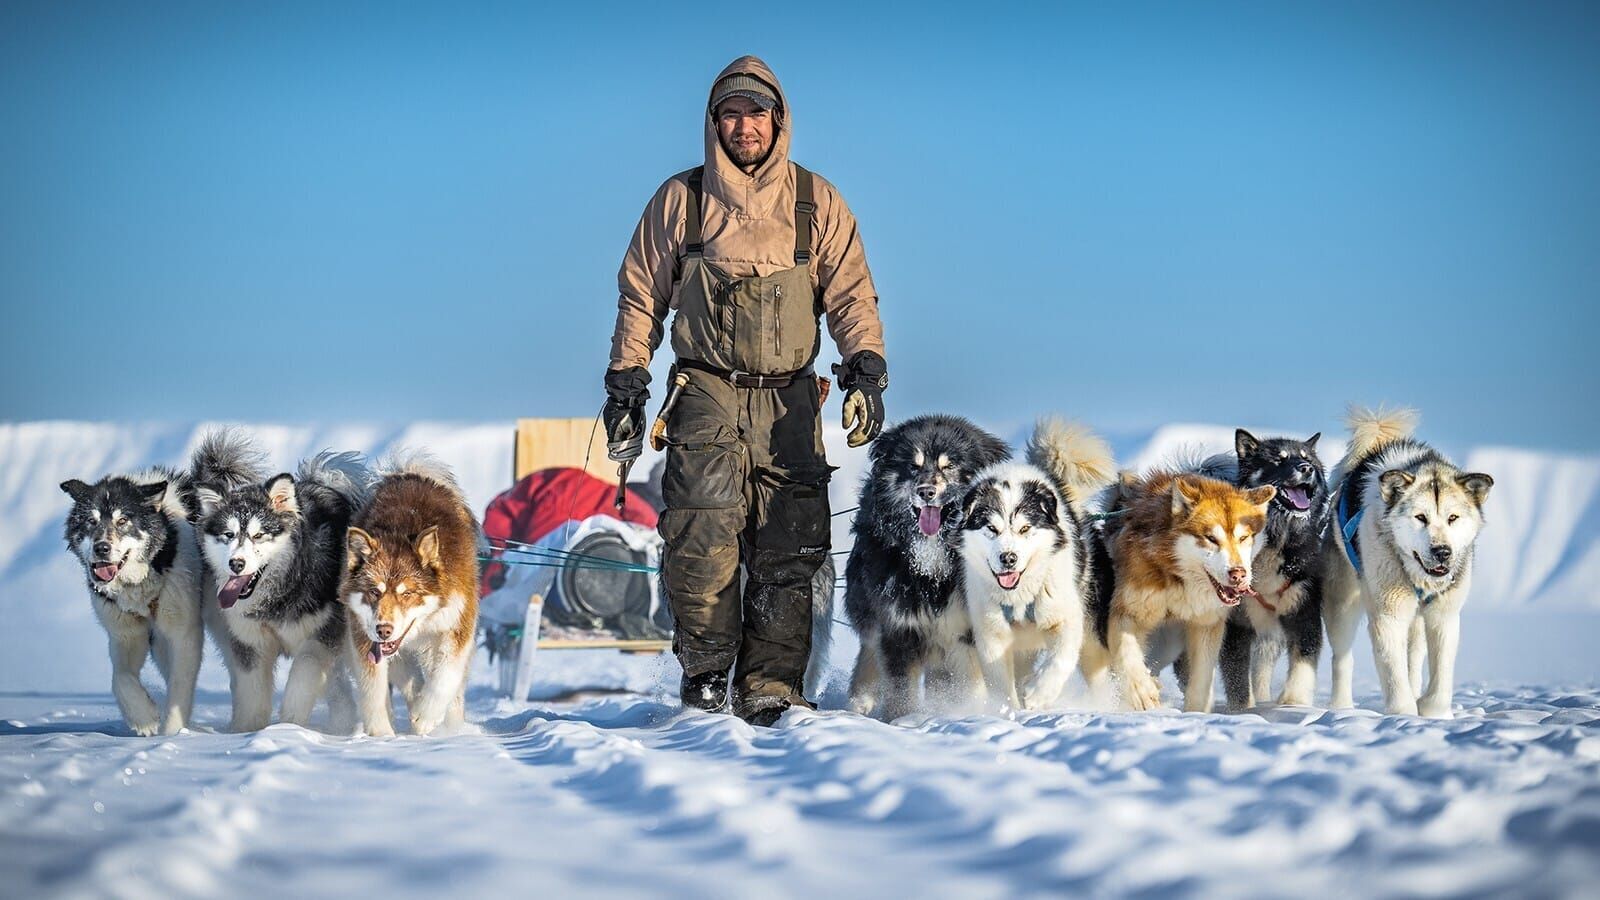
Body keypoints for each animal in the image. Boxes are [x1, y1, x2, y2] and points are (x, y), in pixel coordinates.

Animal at [198, 445, 369, 723]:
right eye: (228, 535)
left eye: (259, 535)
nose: (236, 564)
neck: (278, 598)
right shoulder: (251, 643)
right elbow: (252, 697)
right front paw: (248, 730)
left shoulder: (321, 636)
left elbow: (303, 672)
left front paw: (289, 723)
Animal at [340, 451, 476, 733]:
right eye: (374, 592)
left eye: (407, 594)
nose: (383, 629)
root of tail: (409, 474)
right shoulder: (362, 633)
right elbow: (373, 689)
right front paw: (382, 734)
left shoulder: (458, 627)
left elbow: (446, 676)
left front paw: (426, 715)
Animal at [844, 413, 1004, 714]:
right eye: (913, 466)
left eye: (949, 466)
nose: (926, 491)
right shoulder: (899, 625)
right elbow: (901, 688)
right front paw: (903, 719)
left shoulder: (967, 628)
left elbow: (972, 684)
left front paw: (972, 713)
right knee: (869, 650)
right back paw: (860, 701)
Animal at [953, 419, 1107, 707]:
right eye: (992, 528)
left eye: (1025, 529)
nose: (1008, 558)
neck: (1019, 597)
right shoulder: (992, 634)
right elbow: (1001, 682)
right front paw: (1010, 709)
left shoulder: (1063, 616)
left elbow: (1061, 659)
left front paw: (1039, 693)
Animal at [1318, 406, 1491, 714]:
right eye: (1420, 517)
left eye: (1453, 518)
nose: (1442, 551)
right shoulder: (1389, 615)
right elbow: (1393, 674)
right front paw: (1404, 715)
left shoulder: (1443, 615)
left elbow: (1441, 676)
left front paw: (1433, 712)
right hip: (1342, 606)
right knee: (1342, 658)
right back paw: (1341, 707)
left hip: (1417, 623)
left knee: (1413, 660)